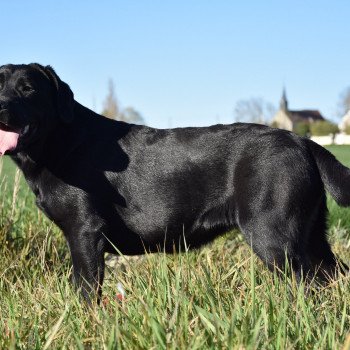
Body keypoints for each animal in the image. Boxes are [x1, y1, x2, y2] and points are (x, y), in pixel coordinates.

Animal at [0, 64, 348, 302]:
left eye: (28, 88)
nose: (1, 106)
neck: (60, 142)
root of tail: (302, 141)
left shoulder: (85, 231)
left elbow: (86, 292)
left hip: (274, 236)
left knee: (306, 285)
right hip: (312, 236)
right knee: (334, 276)